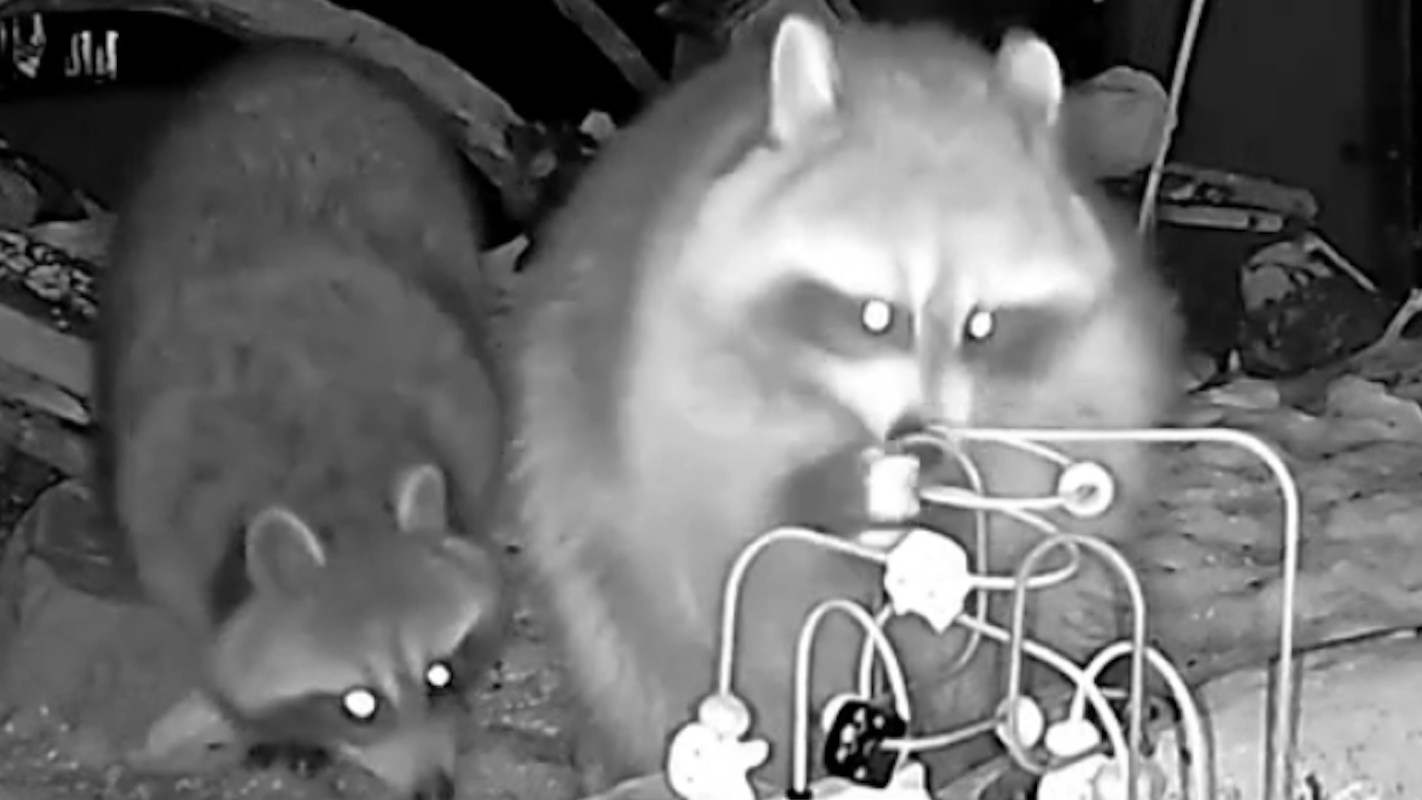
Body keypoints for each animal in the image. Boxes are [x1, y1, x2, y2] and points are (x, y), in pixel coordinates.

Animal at [98, 43, 508, 800]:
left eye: (440, 675)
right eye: (359, 704)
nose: (435, 790)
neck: (336, 486)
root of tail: (295, 54)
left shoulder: (470, 420)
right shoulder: (160, 510)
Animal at [511, 12, 1182, 792]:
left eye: (983, 326)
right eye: (876, 315)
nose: (923, 441)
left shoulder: (1089, 369)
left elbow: (1047, 519)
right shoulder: (688, 375)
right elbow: (744, 541)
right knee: (643, 639)